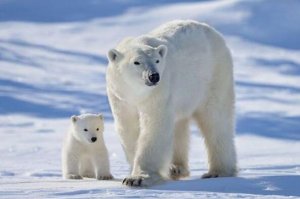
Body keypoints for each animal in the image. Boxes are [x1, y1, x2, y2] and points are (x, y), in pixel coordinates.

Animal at [107, 20, 237, 187]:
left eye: (157, 60)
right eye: (137, 62)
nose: (154, 76)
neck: (137, 93)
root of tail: (212, 30)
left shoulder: (158, 93)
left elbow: (155, 126)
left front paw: (138, 178)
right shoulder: (121, 97)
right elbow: (128, 128)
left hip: (214, 76)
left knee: (216, 120)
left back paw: (218, 172)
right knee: (179, 125)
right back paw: (175, 168)